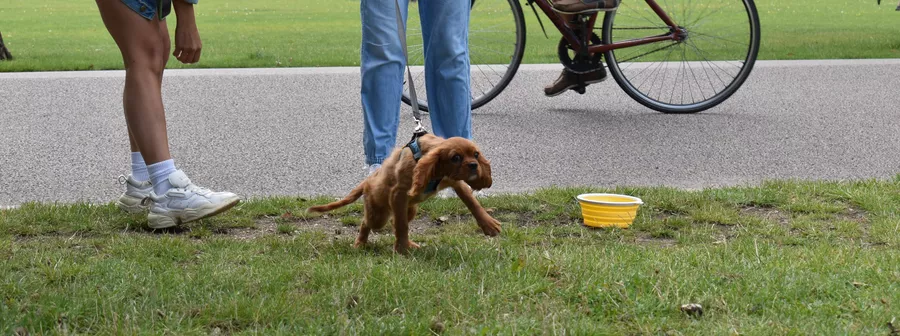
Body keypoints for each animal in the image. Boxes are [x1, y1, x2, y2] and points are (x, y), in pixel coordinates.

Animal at [308, 133, 502, 253]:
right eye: (456, 158)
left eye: (476, 155)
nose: (474, 166)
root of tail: (368, 181)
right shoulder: (398, 194)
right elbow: (402, 226)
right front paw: (401, 249)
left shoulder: (455, 182)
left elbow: (472, 202)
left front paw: (489, 224)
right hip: (378, 215)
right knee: (368, 223)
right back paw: (360, 243)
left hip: (411, 209)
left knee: (394, 221)